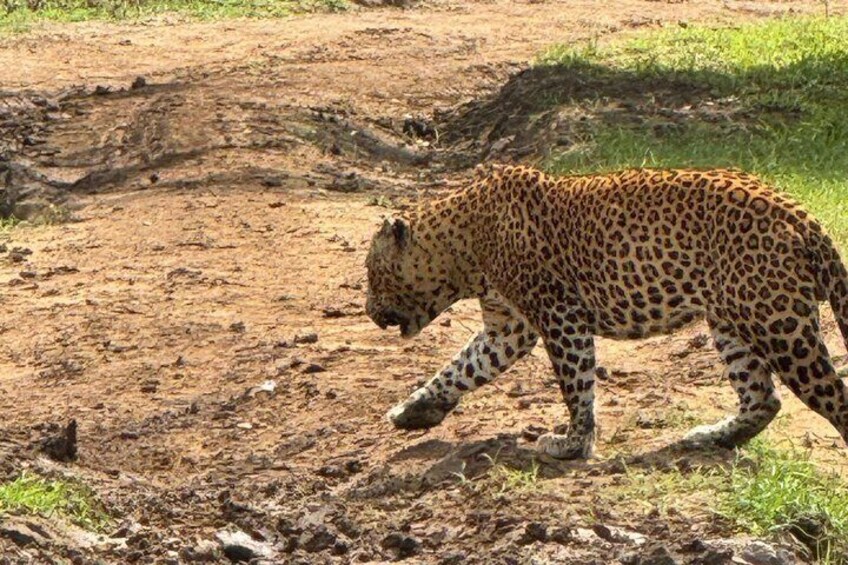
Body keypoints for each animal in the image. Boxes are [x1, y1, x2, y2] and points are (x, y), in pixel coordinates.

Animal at [365, 164, 848, 459]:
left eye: (371, 272)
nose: (368, 311)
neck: (464, 244)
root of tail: (801, 215)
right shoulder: (509, 328)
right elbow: (463, 366)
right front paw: (415, 408)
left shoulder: (559, 314)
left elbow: (576, 384)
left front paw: (573, 442)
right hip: (733, 321)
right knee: (762, 398)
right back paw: (709, 437)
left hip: (779, 325)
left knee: (835, 400)